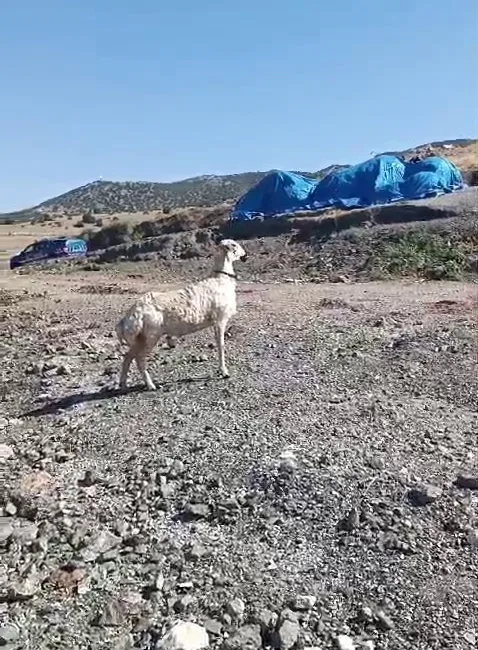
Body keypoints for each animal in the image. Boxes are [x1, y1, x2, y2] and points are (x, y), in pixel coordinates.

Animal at [116, 238, 246, 390]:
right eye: (234, 245)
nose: (245, 255)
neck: (220, 279)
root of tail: (129, 317)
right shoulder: (220, 319)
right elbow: (221, 345)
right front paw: (224, 372)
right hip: (150, 336)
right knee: (139, 359)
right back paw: (150, 385)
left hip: (139, 338)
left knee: (128, 357)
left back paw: (123, 384)